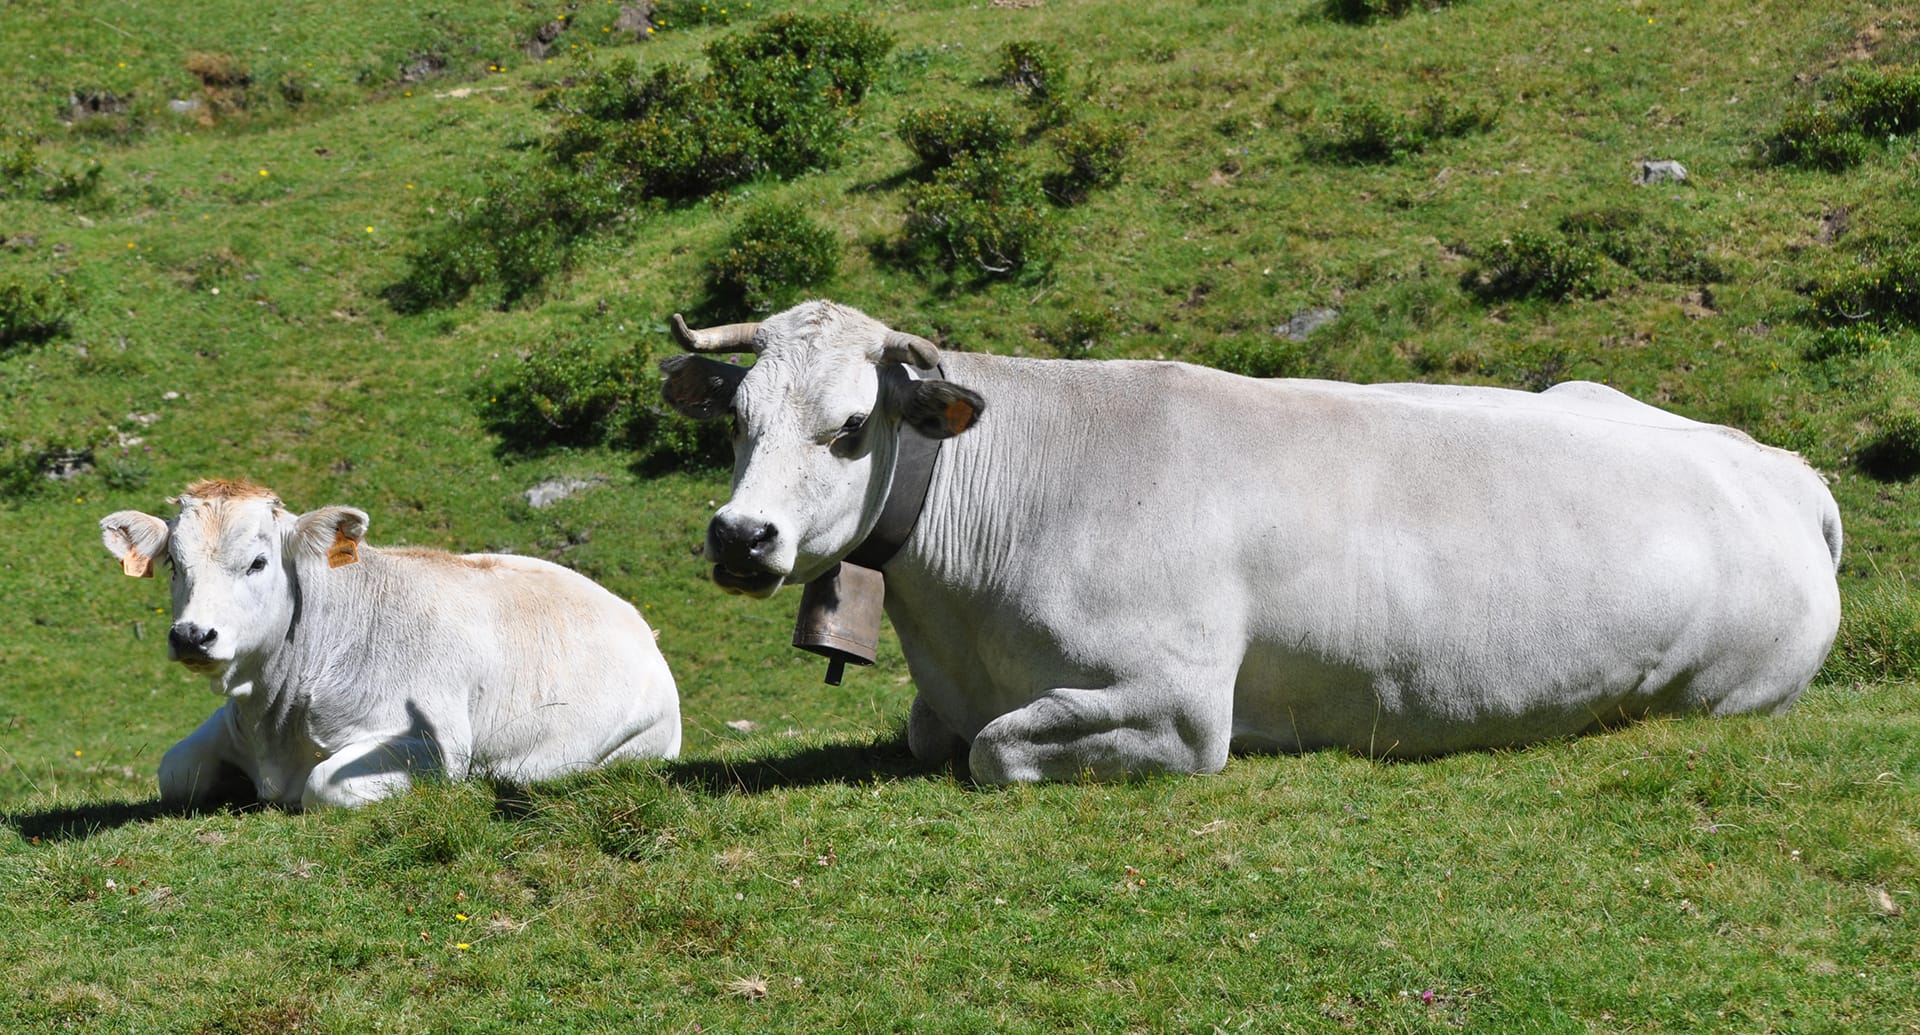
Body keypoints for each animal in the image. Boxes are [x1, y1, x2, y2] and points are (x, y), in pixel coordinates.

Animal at [101, 480, 683, 810]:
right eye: (174, 564)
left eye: (258, 562)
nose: (192, 635)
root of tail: (637, 622)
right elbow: (176, 770)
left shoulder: (431, 745)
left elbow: (324, 784)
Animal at [656, 299, 1843, 787]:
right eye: (735, 416)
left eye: (852, 426)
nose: (740, 534)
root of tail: (1780, 466)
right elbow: (932, 736)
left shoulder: (1178, 705)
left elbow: (992, 752)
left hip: (1725, 691)